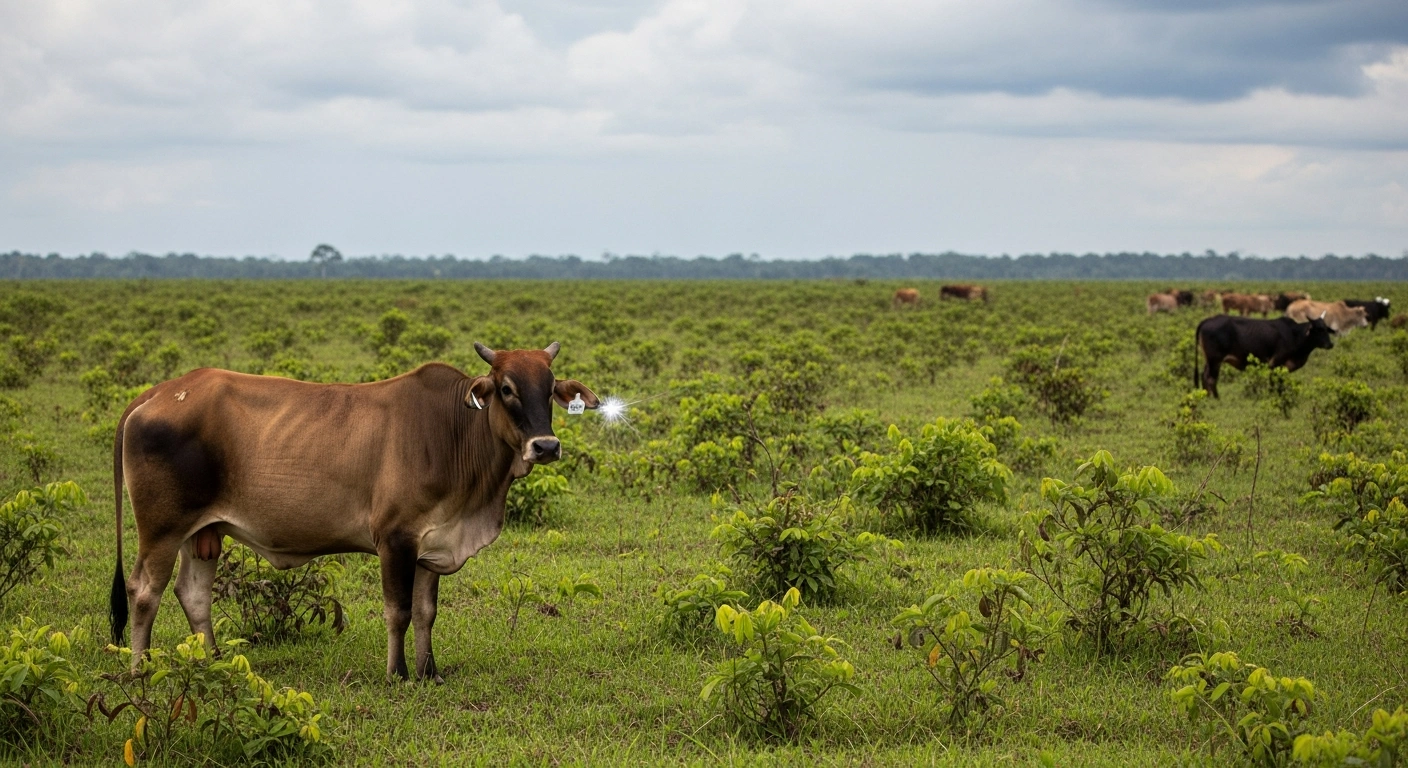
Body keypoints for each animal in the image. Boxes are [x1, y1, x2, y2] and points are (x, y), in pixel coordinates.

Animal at [109, 342, 599, 681]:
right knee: (144, 591)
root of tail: (158, 393)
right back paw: (140, 669)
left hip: (203, 532)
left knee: (193, 593)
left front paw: (430, 672)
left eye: (550, 390)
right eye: (506, 389)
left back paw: (212, 662)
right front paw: (398, 674)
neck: (454, 429)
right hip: (162, 530)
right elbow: (398, 610)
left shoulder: (433, 544)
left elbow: (426, 612)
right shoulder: (395, 540)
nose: (546, 446)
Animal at [1194, 315, 1334, 398]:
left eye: (1326, 329)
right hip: (1215, 360)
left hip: (1209, 360)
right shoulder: (1275, 363)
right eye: (1319, 329)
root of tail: (1206, 320)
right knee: (1211, 379)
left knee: (1204, 376)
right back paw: (1216, 398)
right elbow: (1273, 383)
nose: (1330, 344)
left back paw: (1206, 396)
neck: (1294, 334)